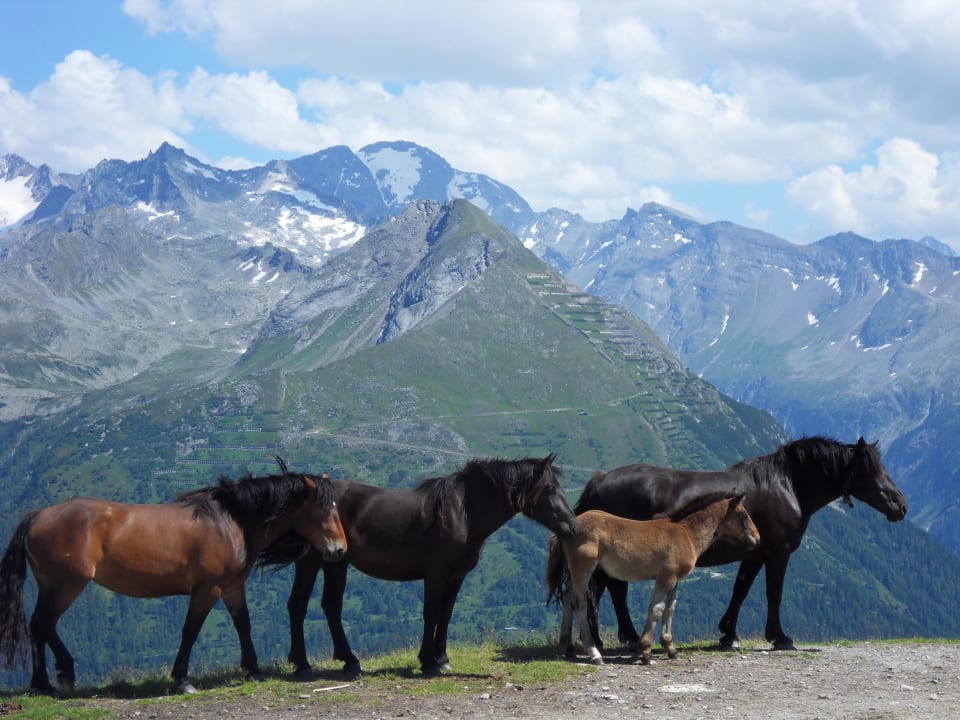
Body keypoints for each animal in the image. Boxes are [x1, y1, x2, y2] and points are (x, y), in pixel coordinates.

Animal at [0, 460, 348, 694]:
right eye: (324, 510)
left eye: (336, 507)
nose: (340, 549)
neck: (231, 523)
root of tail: (37, 517)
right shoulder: (208, 590)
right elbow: (190, 631)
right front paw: (182, 679)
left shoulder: (233, 588)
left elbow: (243, 625)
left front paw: (253, 670)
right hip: (66, 585)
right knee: (42, 624)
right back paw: (55, 677)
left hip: (55, 586)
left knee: (40, 626)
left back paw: (48, 680)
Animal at [259, 454, 578, 677]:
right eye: (550, 489)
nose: (572, 527)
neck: (463, 512)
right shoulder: (435, 573)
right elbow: (431, 613)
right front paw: (427, 662)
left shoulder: (457, 576)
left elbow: (446, 615)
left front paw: (442, 658)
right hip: (311, 561)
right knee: (298, 605)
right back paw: (302, 665)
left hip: (336, 562)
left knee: (331, 606)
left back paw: (350, 661)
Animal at [547, 493, 759, 664]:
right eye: (744, 514)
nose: (757, 538)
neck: (686, 534)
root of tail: (569, 528)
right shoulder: (665, 577)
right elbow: (656, 609)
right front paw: (646, 653)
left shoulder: (675, 580)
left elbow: (670, 609)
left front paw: (671, 649)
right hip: (584, 569)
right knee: (580, 604)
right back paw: (594, 653)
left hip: (577, 573)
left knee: (568, 597)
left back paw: (567, 648)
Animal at [562, 436, 908, 653]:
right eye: (870, 470)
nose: (901, 505)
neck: (787, 485)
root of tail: (600, 480)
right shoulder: (778, 553)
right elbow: (773, 593)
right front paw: (779, 637)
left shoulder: (755, 554)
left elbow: (740, 590)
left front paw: (728, 633)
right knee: (609, 591)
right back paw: (621, 638)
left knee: (604, 591)